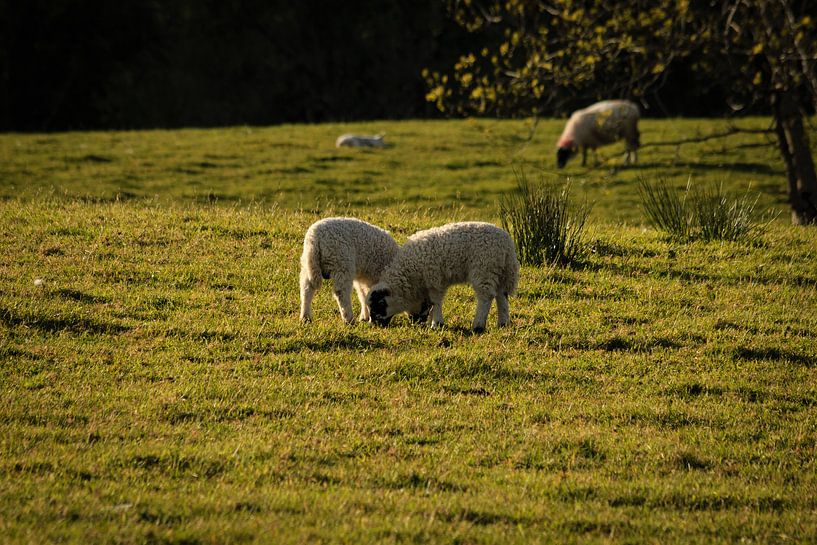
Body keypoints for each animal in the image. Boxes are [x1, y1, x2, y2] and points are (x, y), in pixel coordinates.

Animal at [368, 221, 520, 332]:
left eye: (380, 303)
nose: (375, 325)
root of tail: (507, 245)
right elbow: (431, 302)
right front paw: (431, 321)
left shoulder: (435, 279)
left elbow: (436, 301)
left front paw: (436, 323)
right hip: (500, 271)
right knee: (502, 295)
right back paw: (503, 323)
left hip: (484, 269)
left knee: (486, 297)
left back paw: (478, 326)